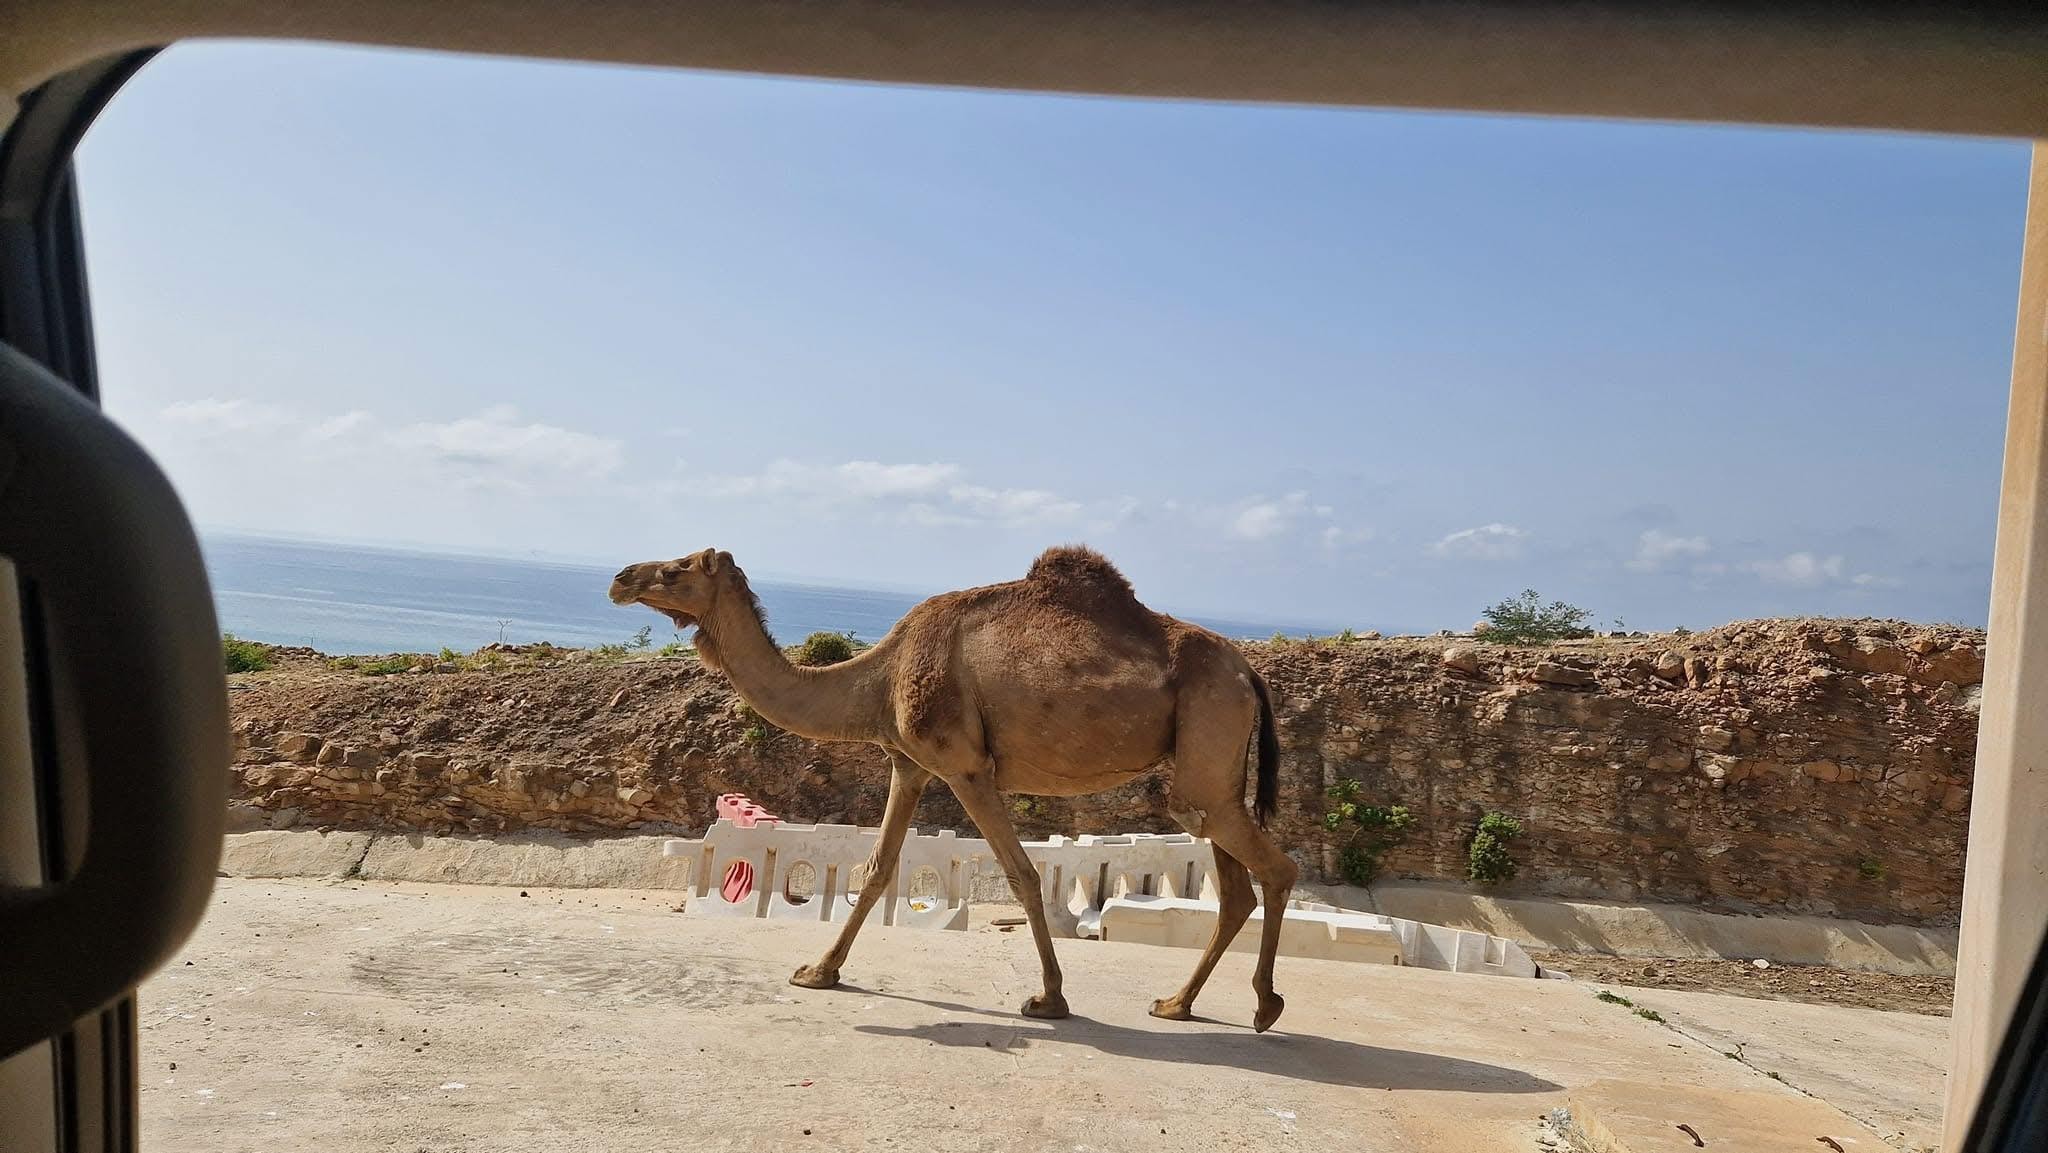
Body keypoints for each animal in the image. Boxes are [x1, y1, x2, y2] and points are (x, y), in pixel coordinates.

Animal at [608, 545, 1297, 1032]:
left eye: (675, 569)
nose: (620, 577)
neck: (878, 678)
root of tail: (1248, 672)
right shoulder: (908, 763)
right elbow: (878, 868)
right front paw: (818, 971)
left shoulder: (965, 766)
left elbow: (1021, 873)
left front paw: (1050, 998)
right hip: (1213, 763)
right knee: (1230, 875)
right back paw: (1176, 1003)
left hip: (1210, 725)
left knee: (1273, 866)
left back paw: (1265, 1006)